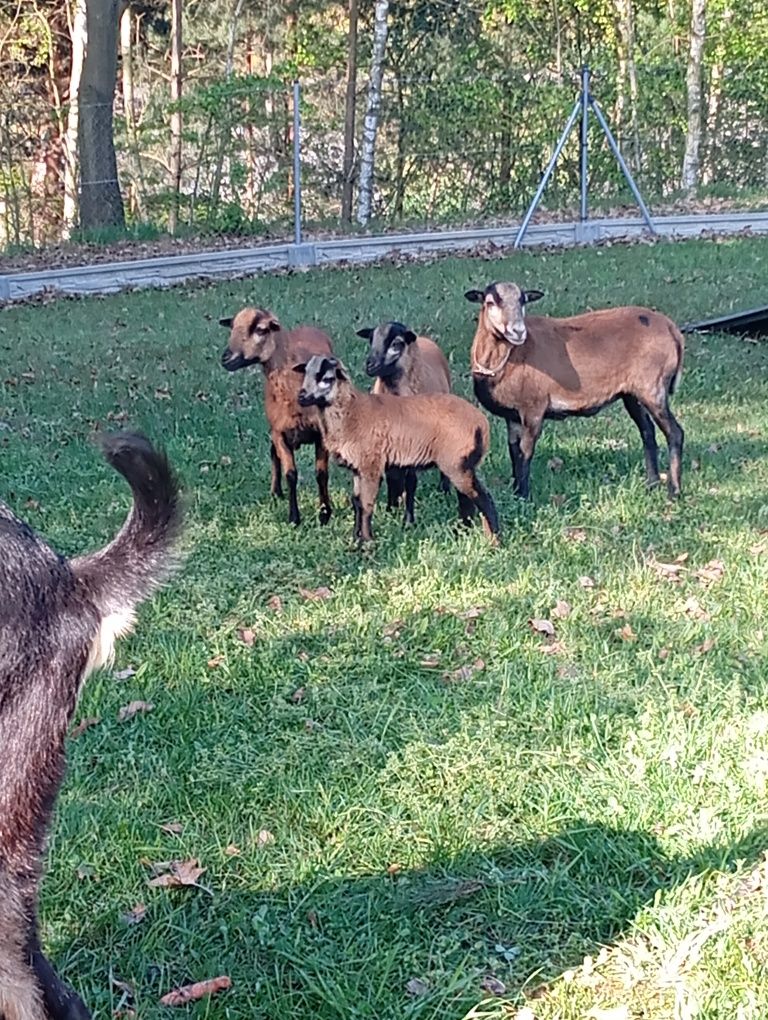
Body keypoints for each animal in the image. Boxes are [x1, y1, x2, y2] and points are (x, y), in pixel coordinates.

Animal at [218, 303, 332, 526]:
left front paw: (324, 513)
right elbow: (291, 474)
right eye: (232, 327)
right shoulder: (279, 432)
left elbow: (321, 474)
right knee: (273, 453)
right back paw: (276, 492)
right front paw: (294, 517)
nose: (225, 358)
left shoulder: (321, 435)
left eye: (260, 330)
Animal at [293, 352, 497, 542]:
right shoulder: (358, 468)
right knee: (466, 500)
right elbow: (356, 502)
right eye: (306, 373)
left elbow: (366, 505)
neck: (352, 412)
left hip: (457, 463)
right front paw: (355, 539)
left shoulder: (371, 465)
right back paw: (463, 532)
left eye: (327, 378)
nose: (301, 397)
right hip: (461, 465)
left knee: (483, 498)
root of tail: (482, 423)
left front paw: (366, 543)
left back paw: (493, 541)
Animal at [356, 320, 452, 526]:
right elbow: (392, 476)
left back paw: (445, 490)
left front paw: (408, 521)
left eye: (396, 344)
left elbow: (411, 481)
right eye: (371, 340)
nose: (370, 365)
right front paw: (391, 509)